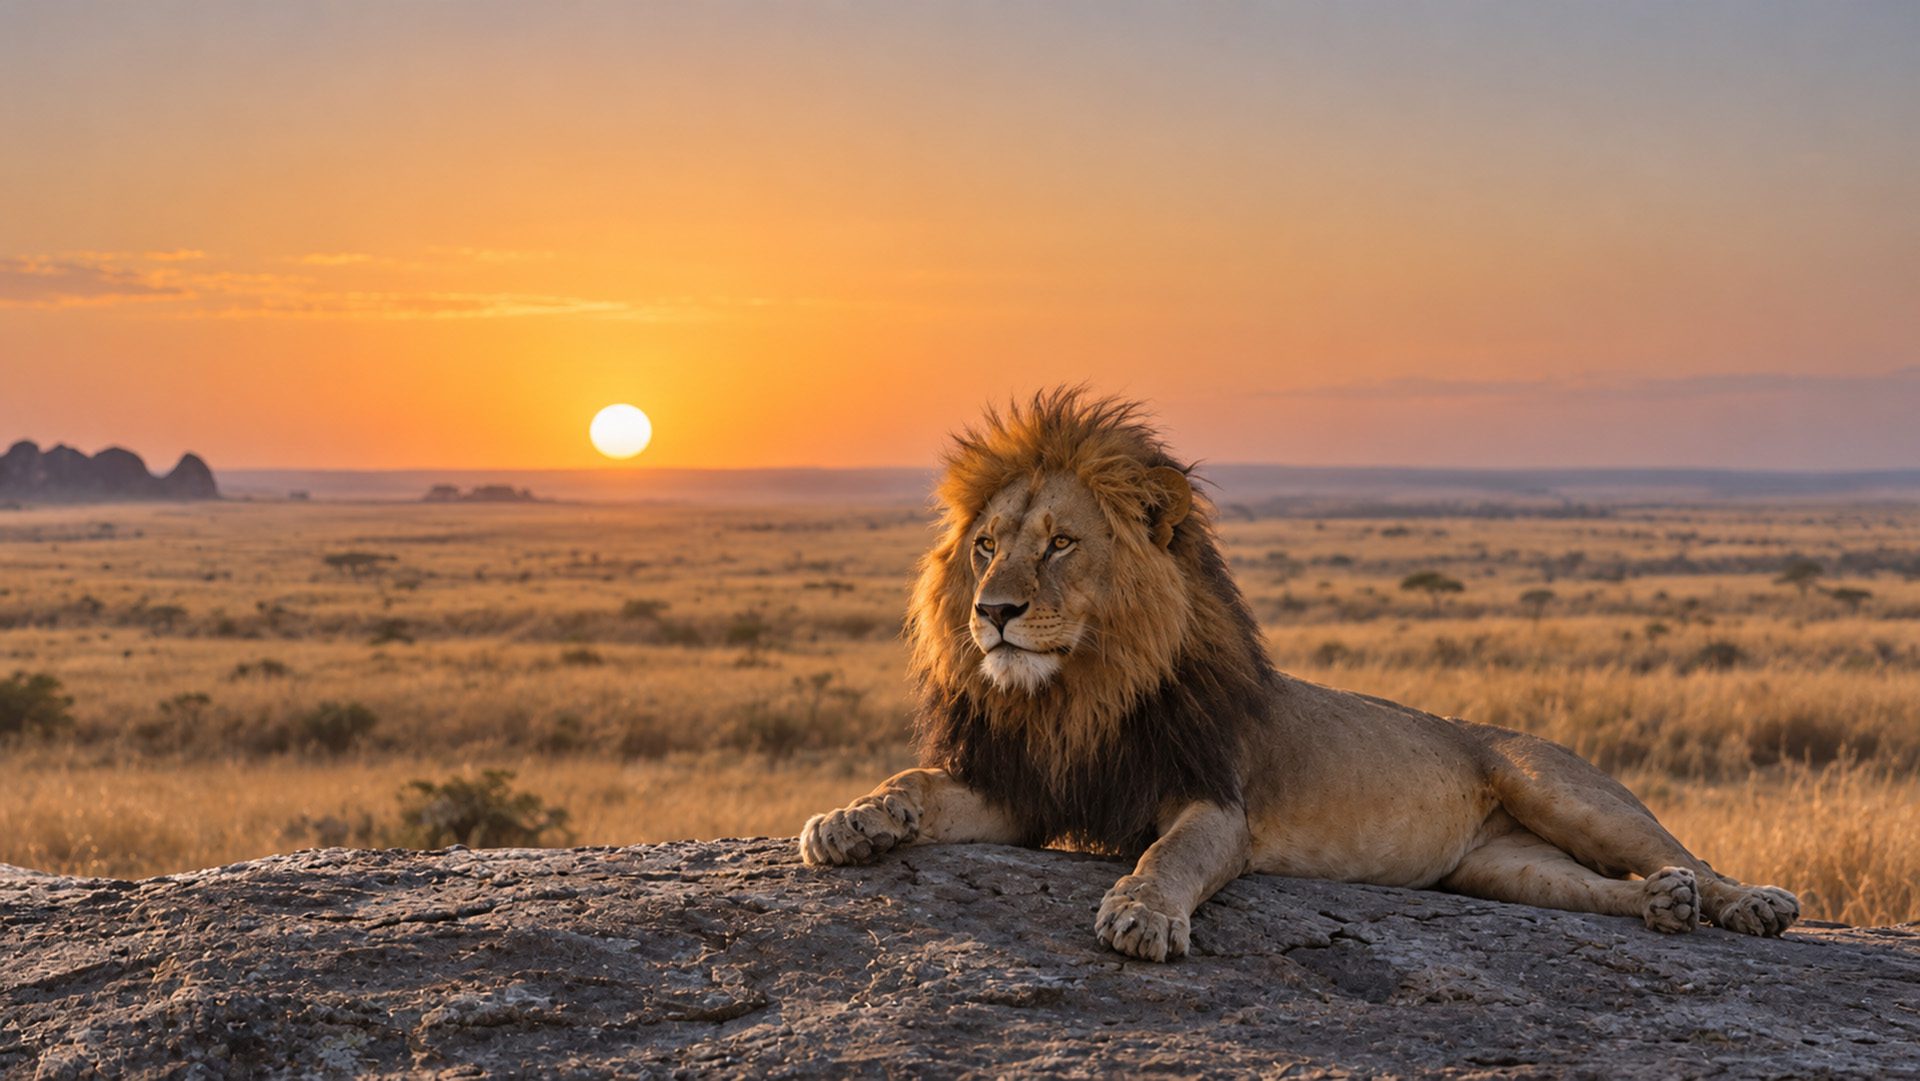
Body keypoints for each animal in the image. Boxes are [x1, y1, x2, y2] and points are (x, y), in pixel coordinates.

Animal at [800, 389, 1800, 962]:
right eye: (984, 546)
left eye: (1060, 544)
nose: (992, 613)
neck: (1077, 691)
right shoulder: (1026, 791)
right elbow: (919, 782)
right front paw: (852, 819)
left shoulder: (1214, 800)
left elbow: (1170, 855)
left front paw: (1142, 916)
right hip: (1500, 866)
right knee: (1597, 888)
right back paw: (1662, 907)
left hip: (1561, 785)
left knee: (1686, 852)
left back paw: (1747, 902)